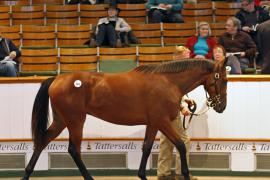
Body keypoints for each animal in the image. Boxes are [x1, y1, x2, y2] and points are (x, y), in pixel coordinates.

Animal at [21, 58, 228, 179]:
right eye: (224, 80)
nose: (222, 106)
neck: (168, 82)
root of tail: (56, 79)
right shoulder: (162, 122)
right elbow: (181, 145)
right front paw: (185, 174)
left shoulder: (153, 123)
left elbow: (146, 148)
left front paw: (142, 175)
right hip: (75, 121)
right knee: (73, 149)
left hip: (61, 121)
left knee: (42, 141)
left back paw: (27, 173)